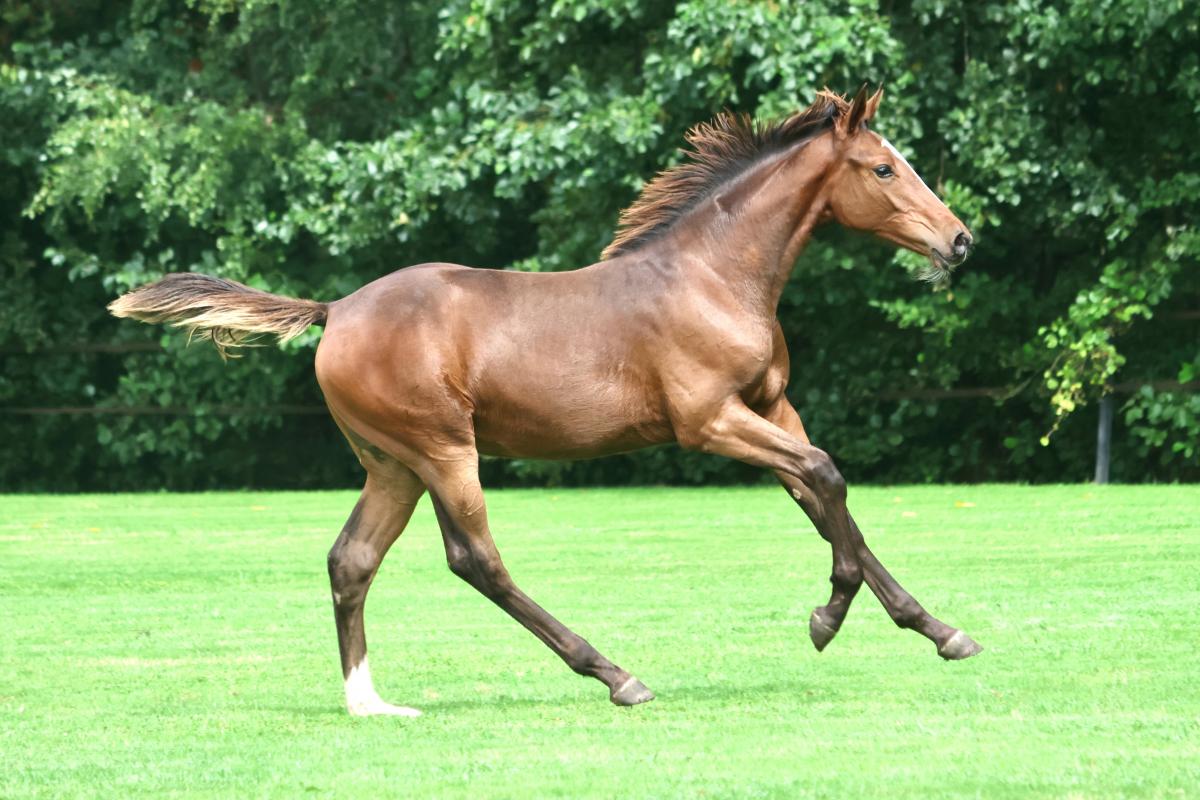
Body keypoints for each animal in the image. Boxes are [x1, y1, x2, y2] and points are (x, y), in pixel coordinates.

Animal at [109, 87, 978, 717]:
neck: (712, 276)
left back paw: (370, 703)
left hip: (391, 465)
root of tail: (335, 310)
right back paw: (617, 675)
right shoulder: (709, 422)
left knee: (351, 559)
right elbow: (827, 477)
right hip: (442, 450)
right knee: (476, 560)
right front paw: (828, 621)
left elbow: (824, 498)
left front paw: (940, 630)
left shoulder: (770, 409)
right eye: (884, 170)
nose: (960, 240)